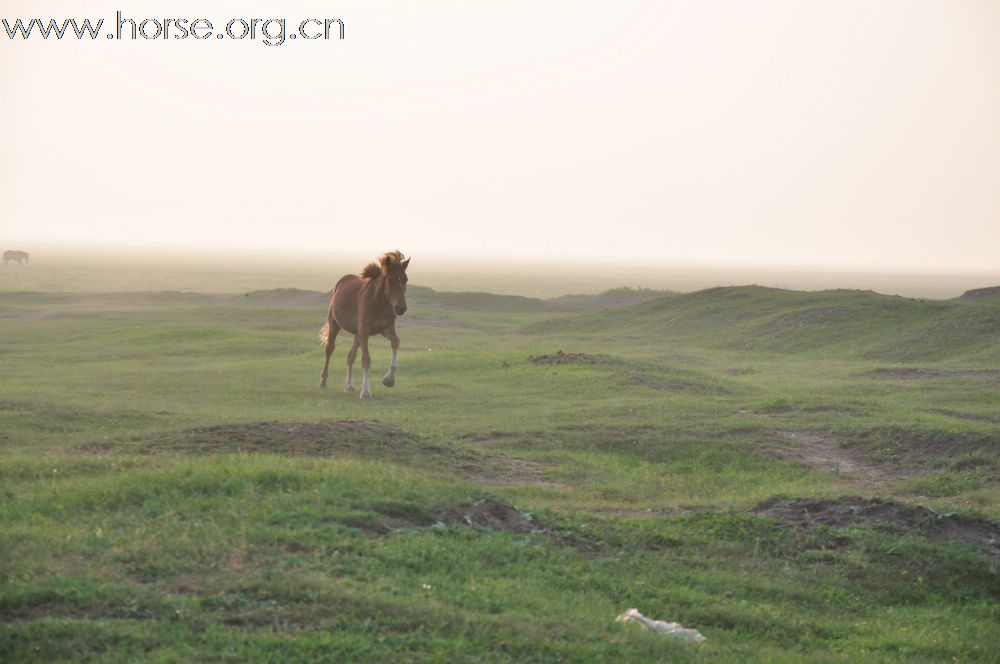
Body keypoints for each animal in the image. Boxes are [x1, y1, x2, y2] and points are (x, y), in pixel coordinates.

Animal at [322, 252, 412, 400]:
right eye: (390, 279)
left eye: (405, 279)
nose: (401, 308)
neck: (378, 302)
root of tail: (342, 281)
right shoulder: (364, 331)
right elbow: (366, 359)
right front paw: (365, 392)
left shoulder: (386, 329)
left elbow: (396, 342)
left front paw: (389, 380)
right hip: (335, 324)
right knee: (329, 349)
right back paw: (323, 381)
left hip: (357, 333)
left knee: (350, 356)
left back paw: (349, 385)